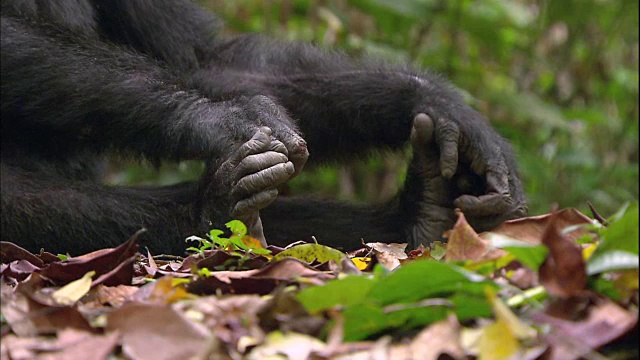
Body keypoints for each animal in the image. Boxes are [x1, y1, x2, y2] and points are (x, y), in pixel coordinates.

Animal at [0, 0, 524, 255]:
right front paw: (221, 119)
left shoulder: (203, 58)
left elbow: (201, 59)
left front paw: (434, 102)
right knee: (30, 203)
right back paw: (210, 211)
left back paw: (426, 212)